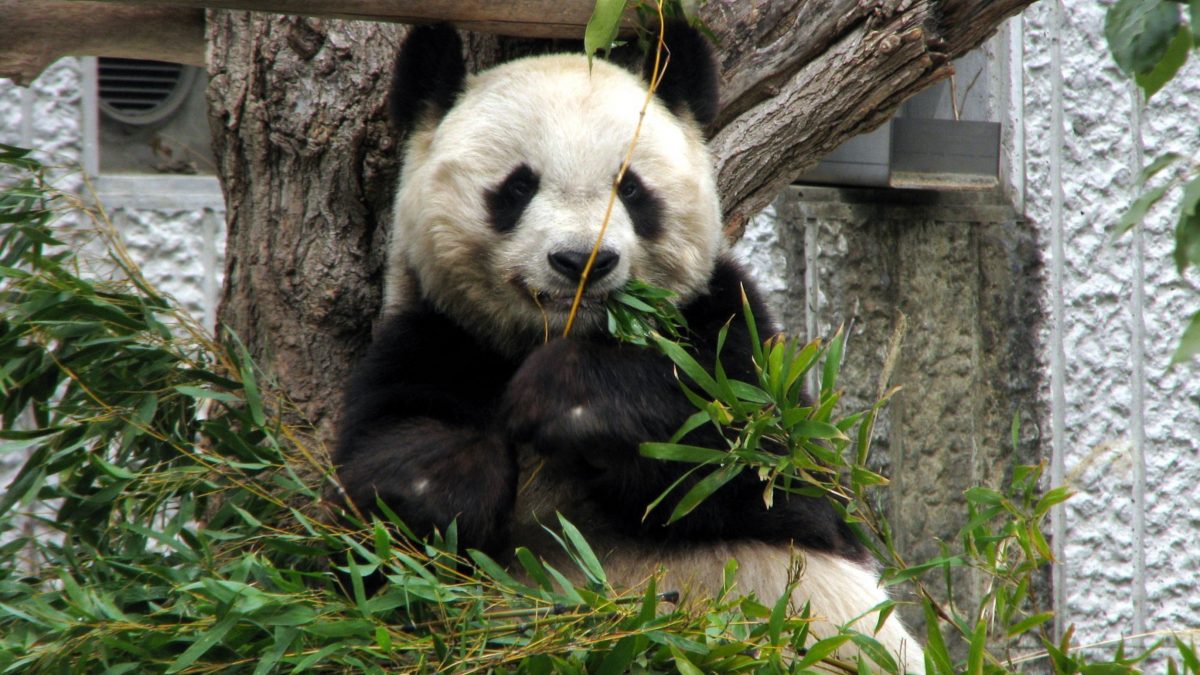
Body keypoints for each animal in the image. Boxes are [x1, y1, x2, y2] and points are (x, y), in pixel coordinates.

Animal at [338, 21, 926, 667]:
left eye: (632, 188)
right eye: (517, 187)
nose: (581, 261)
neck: (575, 330)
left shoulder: (731, 325)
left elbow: (763, 464)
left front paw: (568, 397)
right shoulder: (436, 334)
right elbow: (372, 496)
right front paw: (457, 478)